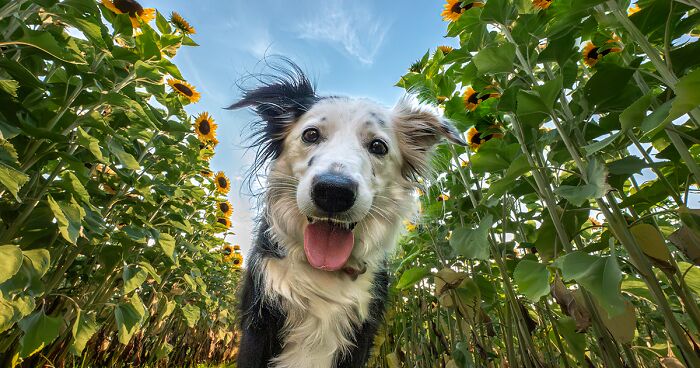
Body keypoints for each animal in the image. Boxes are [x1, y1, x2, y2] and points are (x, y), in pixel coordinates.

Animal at [228, 60, 464, 368]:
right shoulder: (257, 327)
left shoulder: (361, 336)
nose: (334, 191)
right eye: (310, 134)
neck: (324, 272)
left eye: (378, 146)